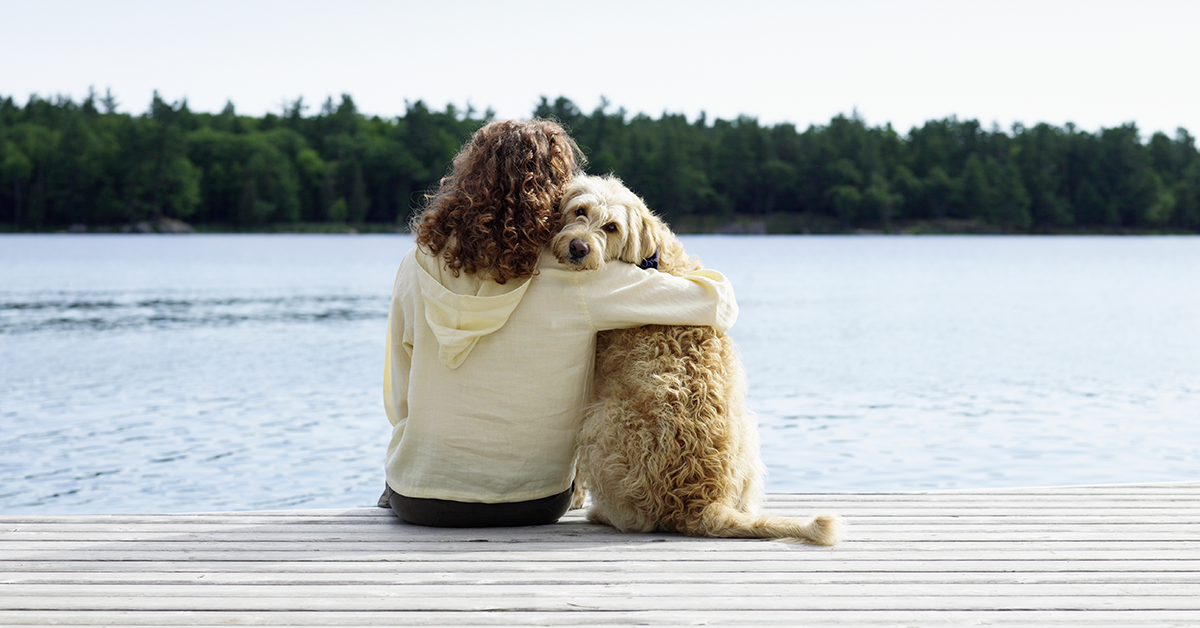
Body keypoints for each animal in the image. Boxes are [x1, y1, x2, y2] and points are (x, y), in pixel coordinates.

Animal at [552, 172, 844, 545]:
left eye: (612, 227)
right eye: (580, 210)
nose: (579, 247)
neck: (650, 256)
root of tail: (702, 503)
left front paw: (575, 496)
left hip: (600, 421)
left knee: (636, 518)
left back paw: (602, 514)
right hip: (748, 430)